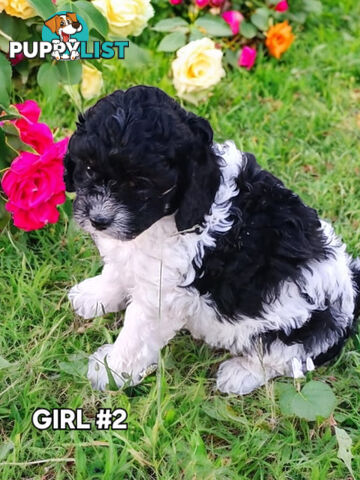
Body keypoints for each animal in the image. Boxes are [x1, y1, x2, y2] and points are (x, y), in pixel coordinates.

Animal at [65, 86, 360, 394]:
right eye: (88, 168)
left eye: (141, 184)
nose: (99, 219)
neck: (173, 214)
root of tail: (350, 289)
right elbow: (118, 271)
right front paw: (95, 295)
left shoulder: (163, 294)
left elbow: (136, 335)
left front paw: (111, 370)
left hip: (293, 333)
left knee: (282, 360)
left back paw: (240, 373)